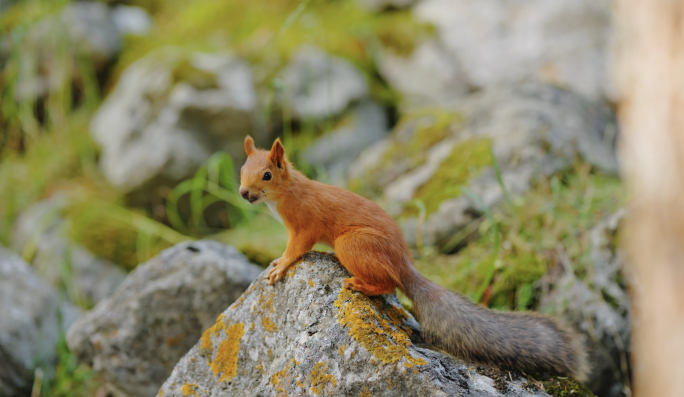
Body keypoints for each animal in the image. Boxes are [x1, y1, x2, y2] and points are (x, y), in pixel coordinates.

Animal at [238, 135, 584, 378]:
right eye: (241, 169)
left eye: (267, 175)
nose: (243, 193)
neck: (287, 195)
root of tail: (404, 264)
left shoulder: (305, 225)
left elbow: (297, 248)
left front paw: (281, 264)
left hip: (352, 245)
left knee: (389, 285)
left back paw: (360, 285)